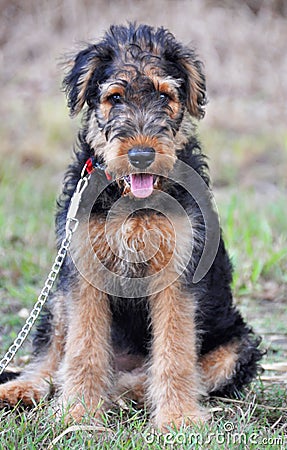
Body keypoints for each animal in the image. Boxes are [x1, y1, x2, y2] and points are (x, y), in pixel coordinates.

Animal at [0, 23, 262, 428]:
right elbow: (82, 347)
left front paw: (179, 419)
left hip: (237, 346)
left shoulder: (177, 271)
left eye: (165, 95)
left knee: (167, 373)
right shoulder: (83, 267)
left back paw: (124, 394)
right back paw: (24, 389)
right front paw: (78, 410)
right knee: (51, 354)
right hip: (57, 298)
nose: (140, 155)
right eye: (115, 97)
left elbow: (175, 352)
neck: (132, 202)